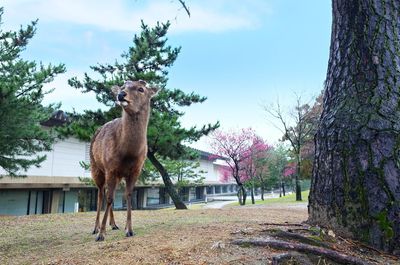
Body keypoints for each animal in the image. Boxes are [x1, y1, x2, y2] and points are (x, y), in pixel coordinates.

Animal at [90, 79, 158, 240]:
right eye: (122, 86)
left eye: (141, 89)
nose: (121, 94)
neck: (128, 153)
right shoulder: (110, 168)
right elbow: (109, 199)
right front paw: (101, 234)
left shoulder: (135, 170)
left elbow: (128, 196)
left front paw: (129, 230)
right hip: (96, 168)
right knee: (101, 194)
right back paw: (96, 228)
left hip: (116, 175)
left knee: (111, 194)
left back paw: (114, 224)